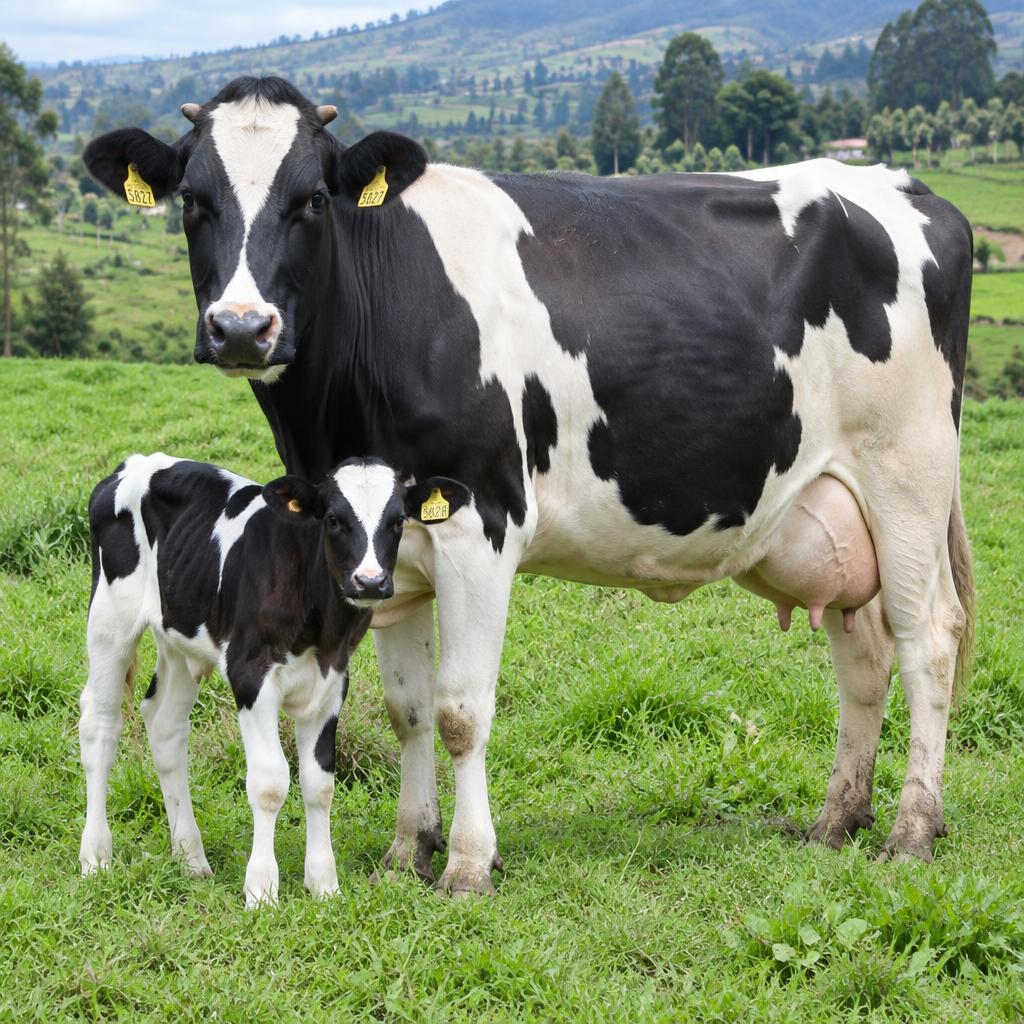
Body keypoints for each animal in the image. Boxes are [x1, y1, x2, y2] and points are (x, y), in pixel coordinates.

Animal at [80, 452, 469, 905]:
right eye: (333, 519)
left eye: (397, 521)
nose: (369, 581)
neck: (320, 623)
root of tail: (137, 461)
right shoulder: (250, 675)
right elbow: (269, 783)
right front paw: (262, 889)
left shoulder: (333, 682)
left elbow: (319, 784)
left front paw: (324, 884)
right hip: (110, 619)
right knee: (99, 725)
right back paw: (96, 856)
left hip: (179, 637)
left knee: (165, 726)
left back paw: (191, 858)